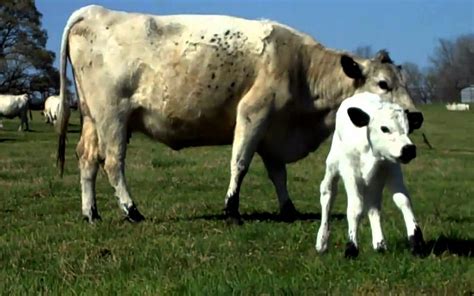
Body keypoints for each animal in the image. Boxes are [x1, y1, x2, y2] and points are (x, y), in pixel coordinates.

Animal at [54, 5, 422, 222]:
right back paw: (132, 211)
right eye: (383, 83)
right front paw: (231, 208)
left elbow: (277, 173)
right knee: (113, 162)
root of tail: (95, 11)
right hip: (112, 116)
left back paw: (91, 213)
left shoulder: (273, 129)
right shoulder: (253, 113)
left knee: (87, 159)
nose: (415, 116)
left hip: (92, 119)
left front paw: (288, 209)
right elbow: (240, 163)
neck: (301, 67)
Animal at [314, 92, 426, 256]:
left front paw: (417, 242)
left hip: (376, 181)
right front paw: (351, 247)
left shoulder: (392, 169)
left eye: (409, 129)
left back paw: (380, 244)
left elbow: (403, 200)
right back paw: (322, 241)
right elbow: (355, 207)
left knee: (373, 205)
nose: (409, 149)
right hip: (333, 165)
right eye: (384, 128)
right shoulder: (351, 172)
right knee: (328, 194)